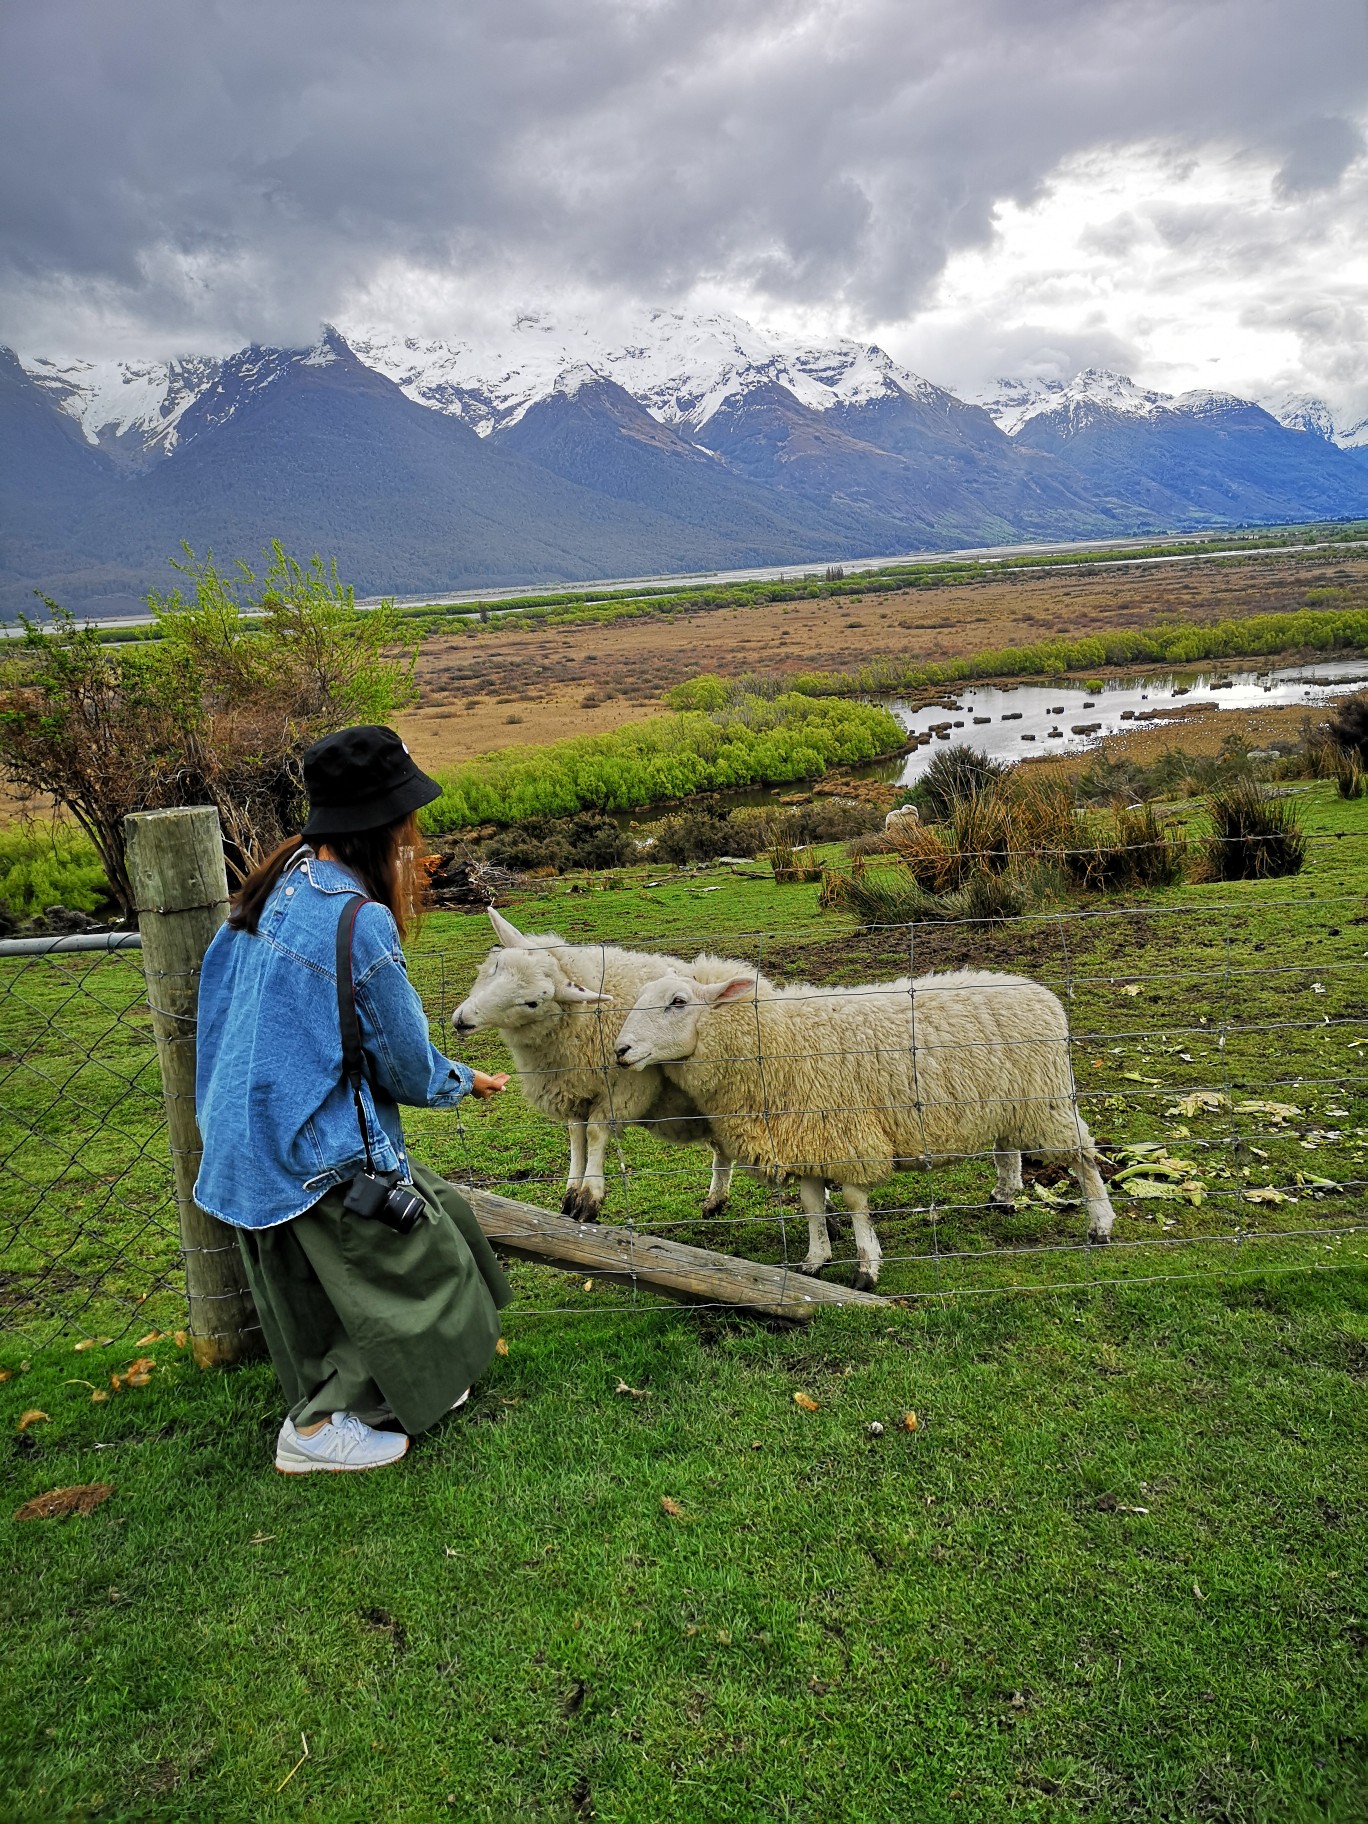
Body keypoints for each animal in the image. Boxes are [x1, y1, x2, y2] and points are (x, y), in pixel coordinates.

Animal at [450, 904, 755, 1218]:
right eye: (497, 966)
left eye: (532, 1003)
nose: (462, 1020)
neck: (586, 1020)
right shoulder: (574, 1086)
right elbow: (576, 1135)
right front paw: (572, 1191)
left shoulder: (625, 1087)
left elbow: (596, 1133)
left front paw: (589, 1196)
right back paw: (716, 1199)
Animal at [616, 963, 1116, 1291]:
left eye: (678, 1002)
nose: (620, 1051)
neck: (772, 1039)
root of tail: (1041, 993)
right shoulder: (808, 1140)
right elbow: (811, 1205)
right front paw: (815, 1261)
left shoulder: (845, 1135)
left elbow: (855, 1204)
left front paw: (865, 1268)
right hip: (1007, 1103)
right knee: (1007, 1148)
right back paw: (1004, 1195)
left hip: (1045, 1100)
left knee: (1083, 1155)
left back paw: (1100, 1225)